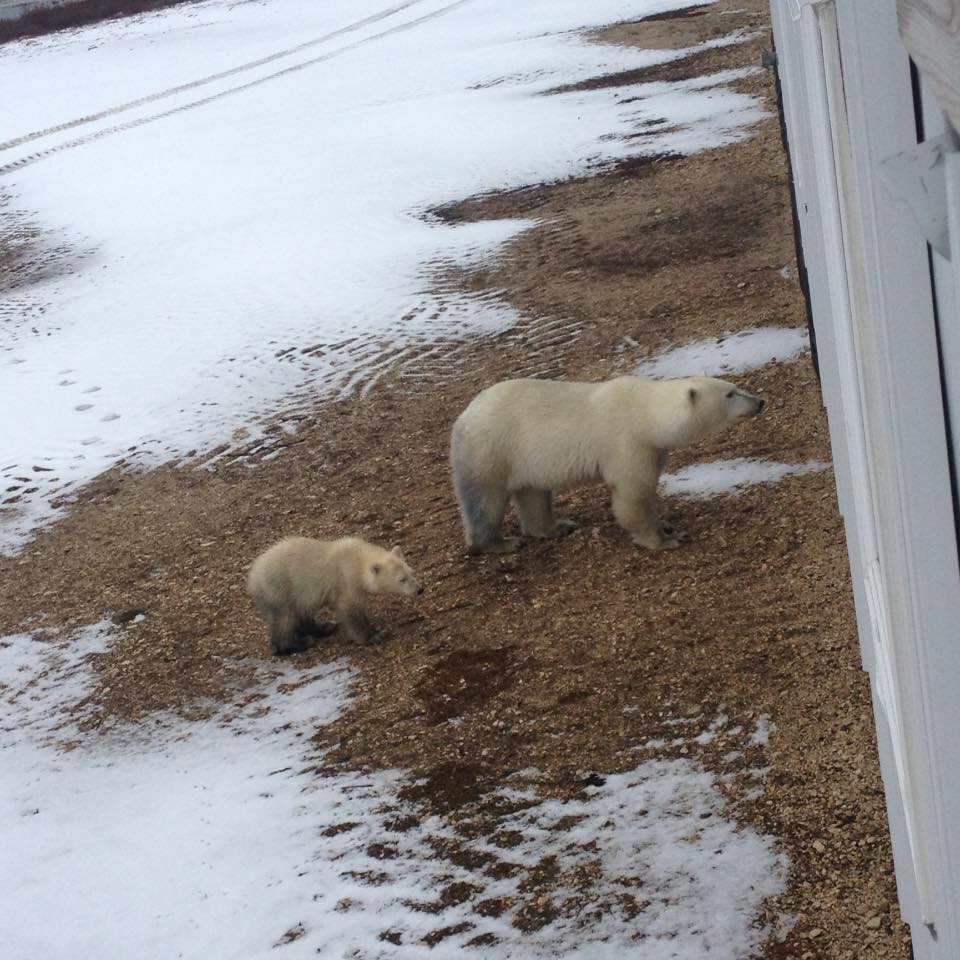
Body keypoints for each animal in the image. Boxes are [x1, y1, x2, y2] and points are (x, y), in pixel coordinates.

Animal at [246, 536, 423, 654]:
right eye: (402, 579)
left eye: (412, 572)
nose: (419, 590)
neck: (356, 558)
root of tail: (252, 576)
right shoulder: (346, 581)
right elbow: (350, 610)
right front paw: (373, 636)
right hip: (280, 588)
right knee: (285, 618)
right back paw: (298, 643)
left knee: (302, 612)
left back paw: (324, 627)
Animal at [450, 374, 763, 554]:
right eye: (730, 394)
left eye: (734, 387)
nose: (759, 401)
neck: (644, 412)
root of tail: (462, 418)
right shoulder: (628, 443)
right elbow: (632, 496)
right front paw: (663, 540)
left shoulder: (653, 448)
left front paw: (668, 526)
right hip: (490, 451)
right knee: (485, 500)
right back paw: (498, 543)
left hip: (524, 458)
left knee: (533, 494)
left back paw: (558, 526)